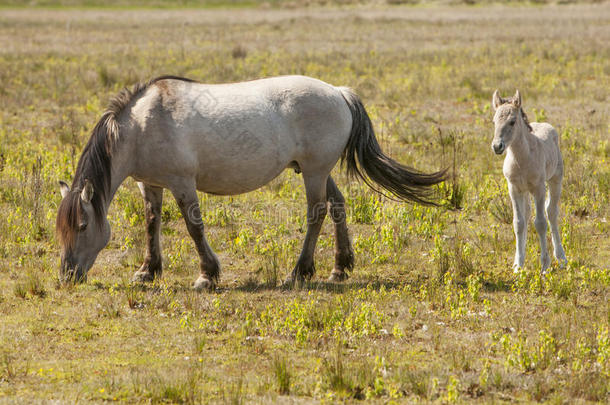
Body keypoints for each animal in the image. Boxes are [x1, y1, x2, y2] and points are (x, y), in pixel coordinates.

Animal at [57, 75, 444, 288]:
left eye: (82, 225)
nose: (66, 275)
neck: (143, 124)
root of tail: (338, 92)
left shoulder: (182, 183)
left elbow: (194, 227)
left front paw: (207, 275)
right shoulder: (150, 185)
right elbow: (152, 224)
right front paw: (147, 271)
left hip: (315, 172)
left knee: (317, 213)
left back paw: (299, 272)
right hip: (319, 170)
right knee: (337, 206)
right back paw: (339, 268)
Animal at [486, 90, 568, 274]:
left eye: (512, 121)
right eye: (494, 121)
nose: (497, 146)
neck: (521, 159)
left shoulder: (539, 188)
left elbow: (540, 223)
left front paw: (544, 265)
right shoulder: (514, 189)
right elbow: (518, 223)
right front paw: (518, 265)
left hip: (555, 180)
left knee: (551, 212)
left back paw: (561, 257)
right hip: (524, 191)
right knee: (527, 213)